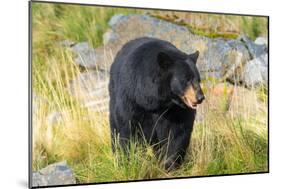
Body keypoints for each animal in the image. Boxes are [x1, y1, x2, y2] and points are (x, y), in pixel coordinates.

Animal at [107, 37, 203, 170]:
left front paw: (169, 165)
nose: (200, 97)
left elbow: (177, 133)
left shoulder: (175, 111)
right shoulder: (131, 99)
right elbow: (126, 128)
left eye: (199, 79)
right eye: (187, 79)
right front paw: (128, 163)